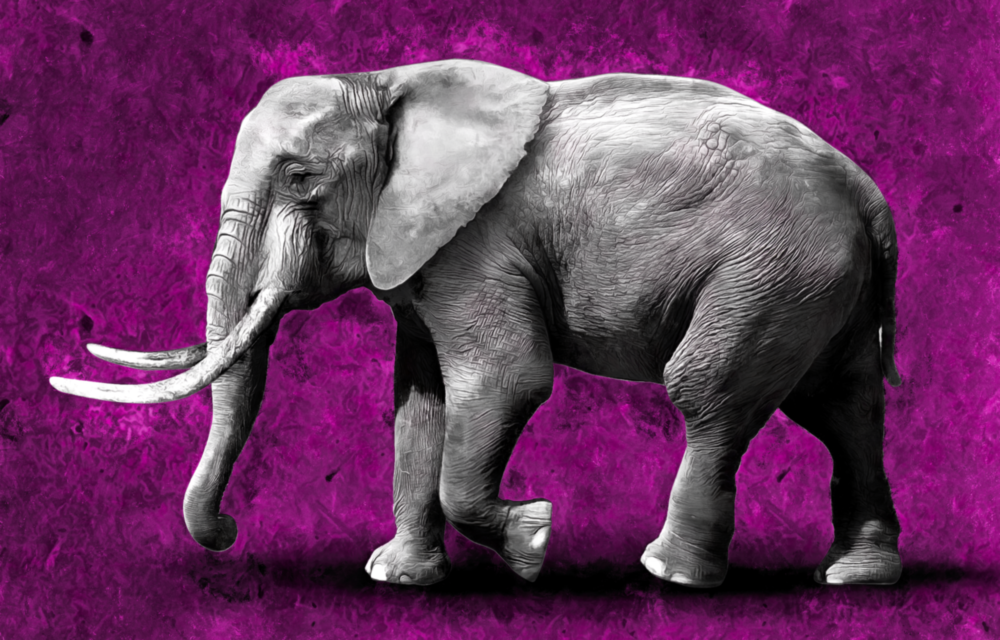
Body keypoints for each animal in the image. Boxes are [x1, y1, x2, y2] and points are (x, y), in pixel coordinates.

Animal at [51, 59, 903, 589]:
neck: (386, 83)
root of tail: (867, 193)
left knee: (710, 393)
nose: (228, 531)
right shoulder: (423, 257)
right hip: (819, 284)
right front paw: (397, 577)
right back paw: (855, 577)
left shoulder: (479, 244)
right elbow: (418, 405)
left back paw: (671, 574)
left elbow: (505, 381)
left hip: (771, 269)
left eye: (300, 177)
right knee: (844, 408)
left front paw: (533, 541)